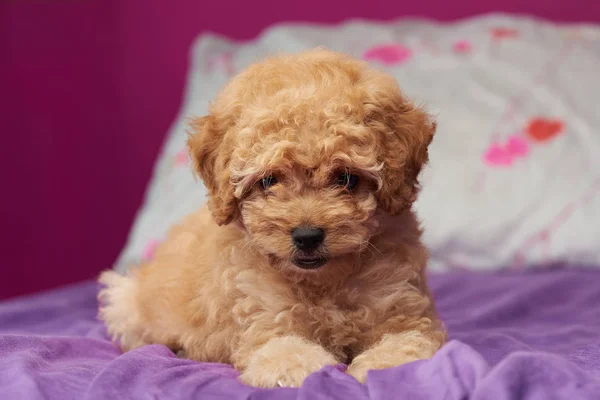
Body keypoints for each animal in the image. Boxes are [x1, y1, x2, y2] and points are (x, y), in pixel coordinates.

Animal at [98, 47, 446, 388]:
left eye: (346, 178)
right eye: (268, 181)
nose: (307, 236)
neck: (323, 284)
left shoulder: (401, 305)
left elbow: (404, 346)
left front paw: (381, 367)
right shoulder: (263, 319)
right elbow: (287, 355)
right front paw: (312, 369)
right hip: (126, 302)